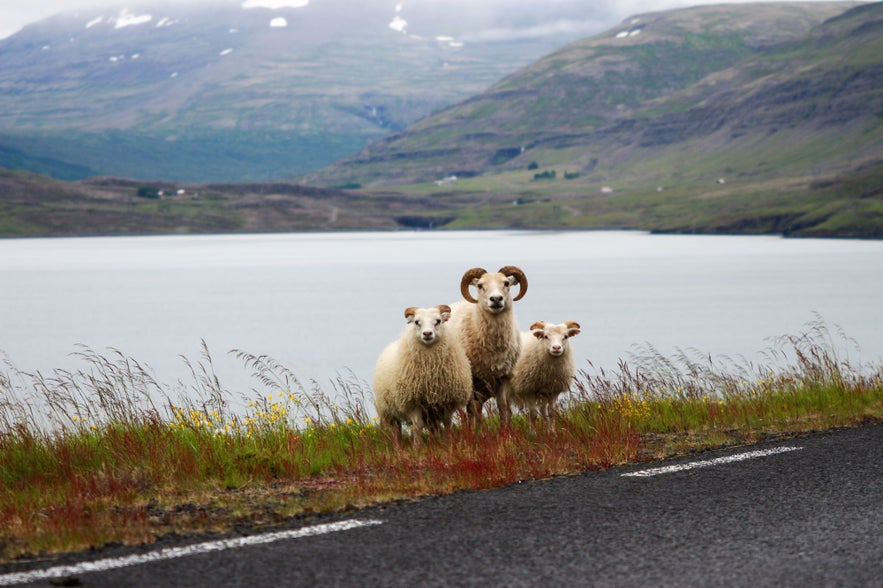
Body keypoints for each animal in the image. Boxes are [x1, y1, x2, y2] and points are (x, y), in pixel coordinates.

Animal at [372, 306, 474, 444]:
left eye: (438, 321)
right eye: (416, 322)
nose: (427, 334)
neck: (430, 372)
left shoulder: (447, 402)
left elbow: (447, 423)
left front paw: (449, 443)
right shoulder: (413, 403)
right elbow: (417, 426)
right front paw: (417, 446)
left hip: (431, 413)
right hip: (389, 411)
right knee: (396, 430)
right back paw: (398, 446)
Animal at [446, 266, 528, 422]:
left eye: (506, 283)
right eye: (480, 285)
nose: (496, 299)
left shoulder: (504, 378)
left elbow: (504, 409)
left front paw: (506, 429)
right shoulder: (472, 380)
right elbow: (474, 410)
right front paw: (479, 429)